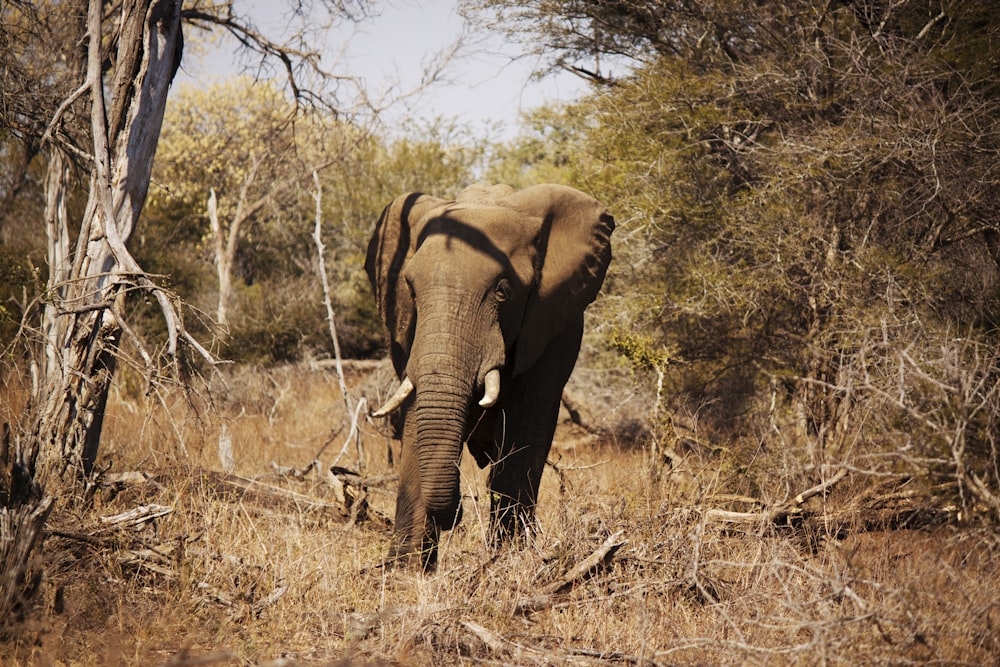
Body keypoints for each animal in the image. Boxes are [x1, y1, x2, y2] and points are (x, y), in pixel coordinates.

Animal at [366, 183, 612, 568]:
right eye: (411, 289)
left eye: (503, 291)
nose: (457, 514)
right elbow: (417, 416)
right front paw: (405, 570)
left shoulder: (552, 328)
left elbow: (526, 427)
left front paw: (510, 559)